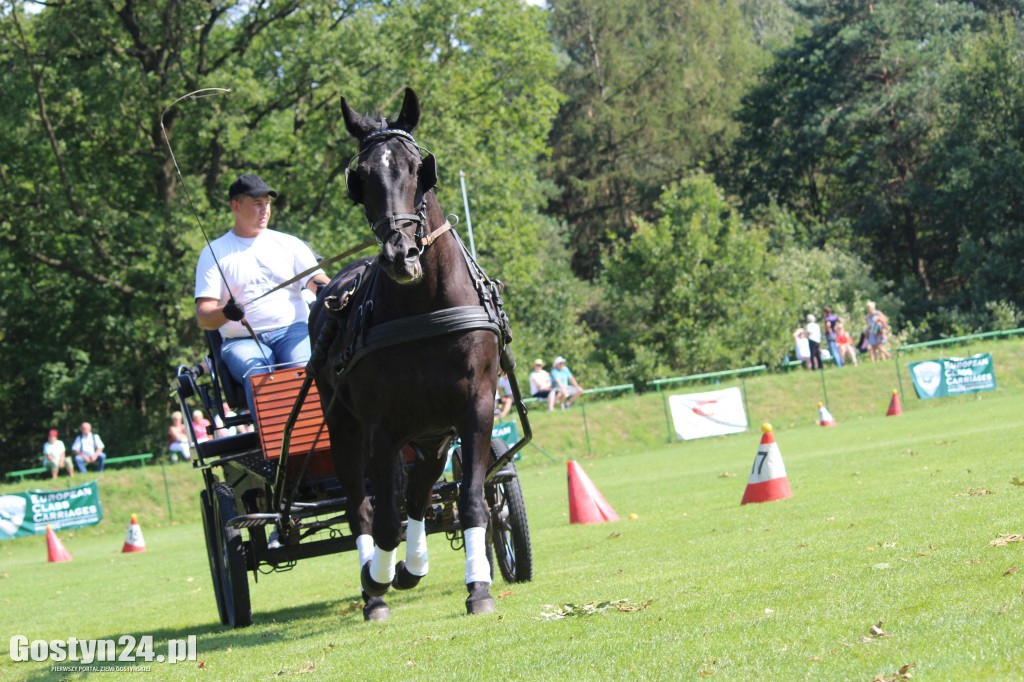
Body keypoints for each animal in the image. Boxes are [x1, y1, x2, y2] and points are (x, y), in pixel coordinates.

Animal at [307, 87, 507, 618]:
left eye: (420, 168)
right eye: (361, 178)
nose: (400, 255)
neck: (424, 306)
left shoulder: (474, 409)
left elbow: (471, 499)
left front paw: (478, 587)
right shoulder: (381, 426)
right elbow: (382, 516)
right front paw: (375, 580)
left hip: (433, 432)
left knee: (419, 494)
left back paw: (411, 567)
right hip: (346, 428)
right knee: (362, 506)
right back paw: (373, 586)